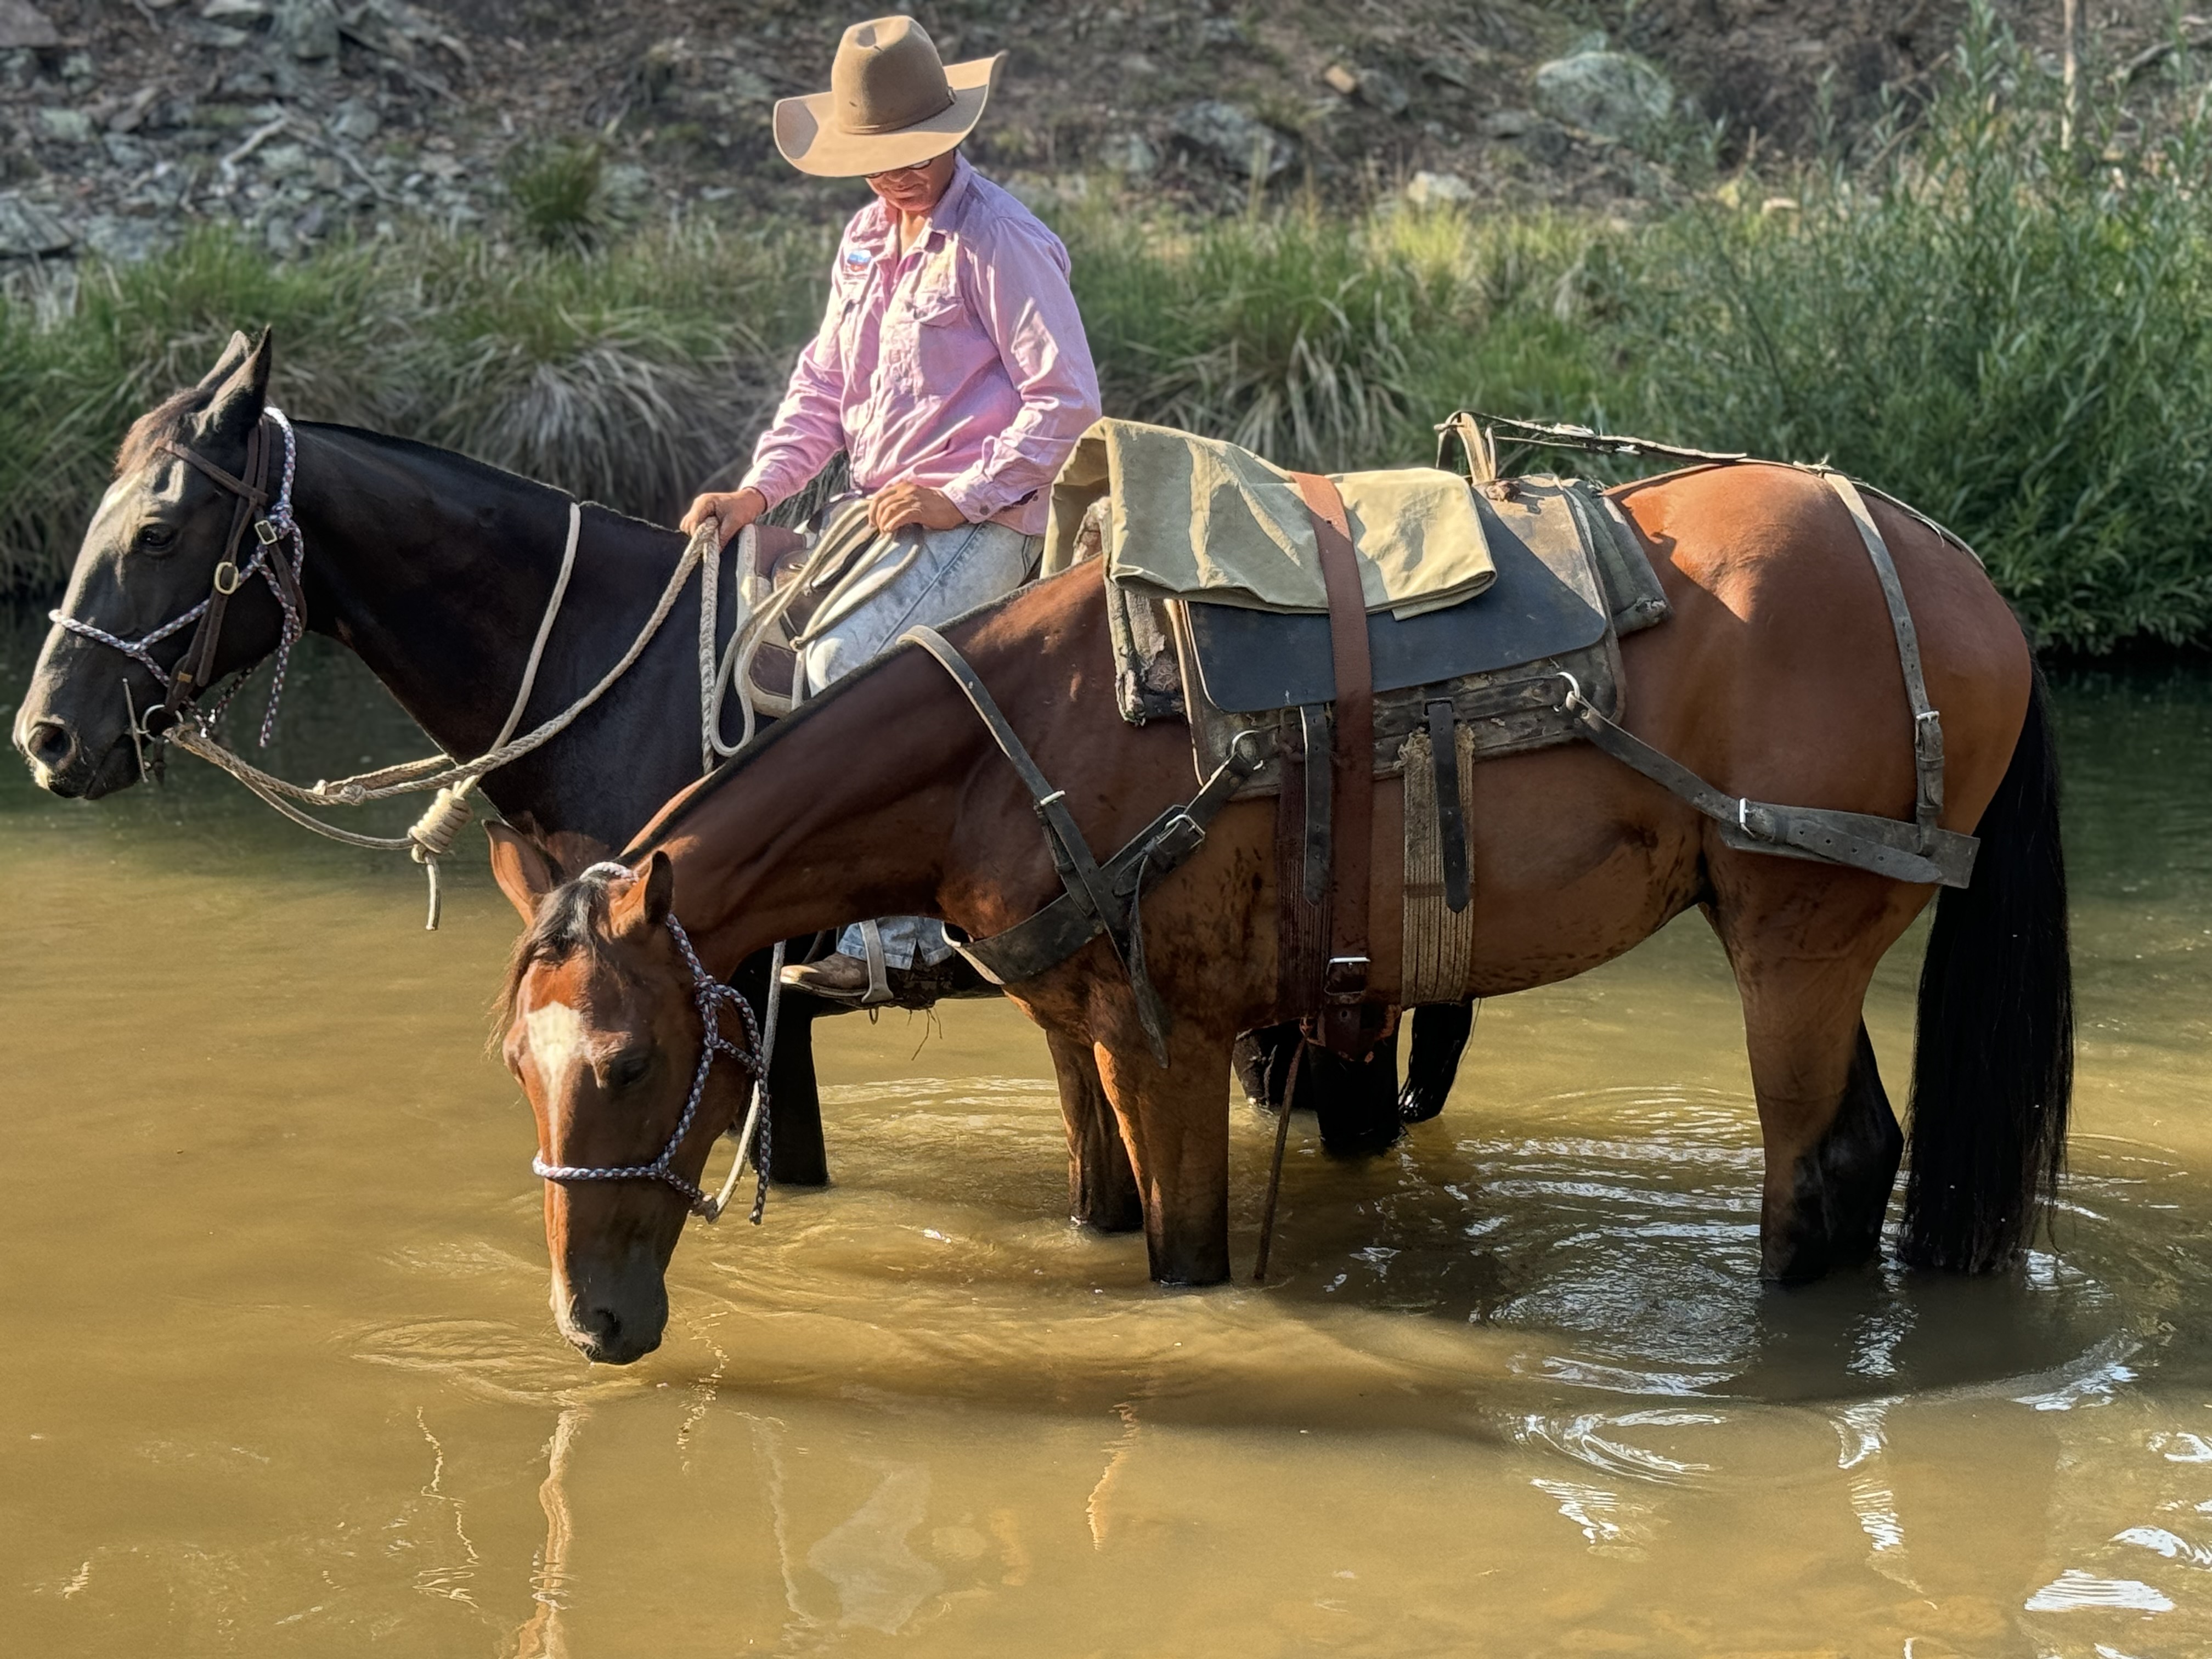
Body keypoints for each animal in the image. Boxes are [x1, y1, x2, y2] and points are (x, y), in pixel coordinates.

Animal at [488, 465, 2070, 1364]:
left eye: (629, 1064)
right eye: (518, 1065)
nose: (590, 1321)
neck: (1008, 747)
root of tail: (1954, 569)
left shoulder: (1167, 1039)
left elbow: (1182, 1262)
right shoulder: (1077, 1028)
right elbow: (1102, 1211)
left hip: (1797, 937)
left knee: (1820, 1170)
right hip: (1792, 941)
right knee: (1865, 1159)